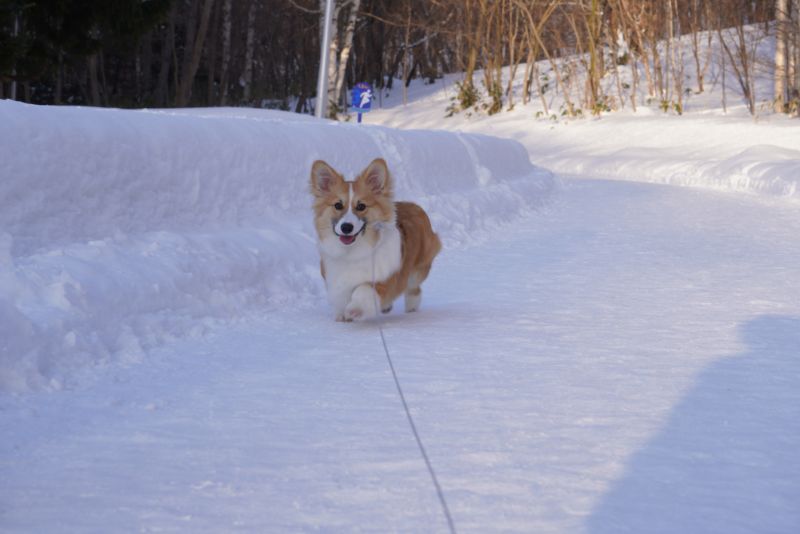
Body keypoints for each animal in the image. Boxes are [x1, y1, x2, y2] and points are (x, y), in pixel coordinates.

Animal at [310, 159, 440, 322]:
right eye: (338, 205)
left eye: (361, 206)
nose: (346, 227)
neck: (353, 252)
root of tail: (414, 205)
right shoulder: (336, 281)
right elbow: (340, 296)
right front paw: (341, 316)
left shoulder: (385, 279)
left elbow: (363, 289)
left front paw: (354, 310)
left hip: (418, 269)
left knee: (413, 288)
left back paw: (411, 309)